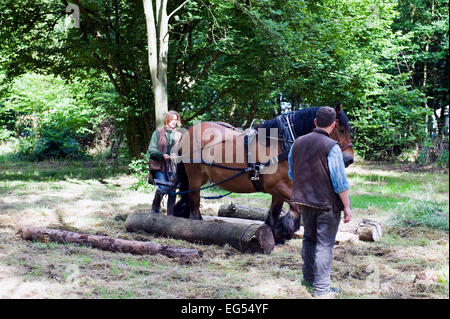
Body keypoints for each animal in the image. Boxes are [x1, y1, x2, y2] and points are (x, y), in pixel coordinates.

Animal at [173, 104, 356, 242]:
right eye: (341, 129)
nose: (349, 159)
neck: (281, 144)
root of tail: (190, 130)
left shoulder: (280, 189)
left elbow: (276, 212)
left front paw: (276, 233)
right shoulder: (275, 185)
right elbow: (296, 208)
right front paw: (283, 230)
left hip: (202, 176)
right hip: (195, 176)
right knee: (194, 200)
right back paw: (197, 225)